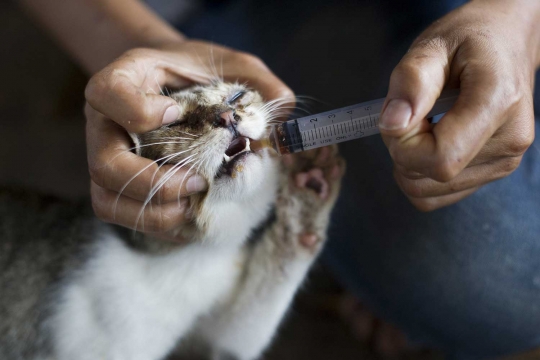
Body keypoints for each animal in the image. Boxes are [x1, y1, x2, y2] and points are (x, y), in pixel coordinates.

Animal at [0, 81, 344, 360]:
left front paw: (311, 186)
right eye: (175, 121)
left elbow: (258, 308)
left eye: (236, 96)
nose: (227, 116)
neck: (188, 259)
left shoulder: (216, 339)